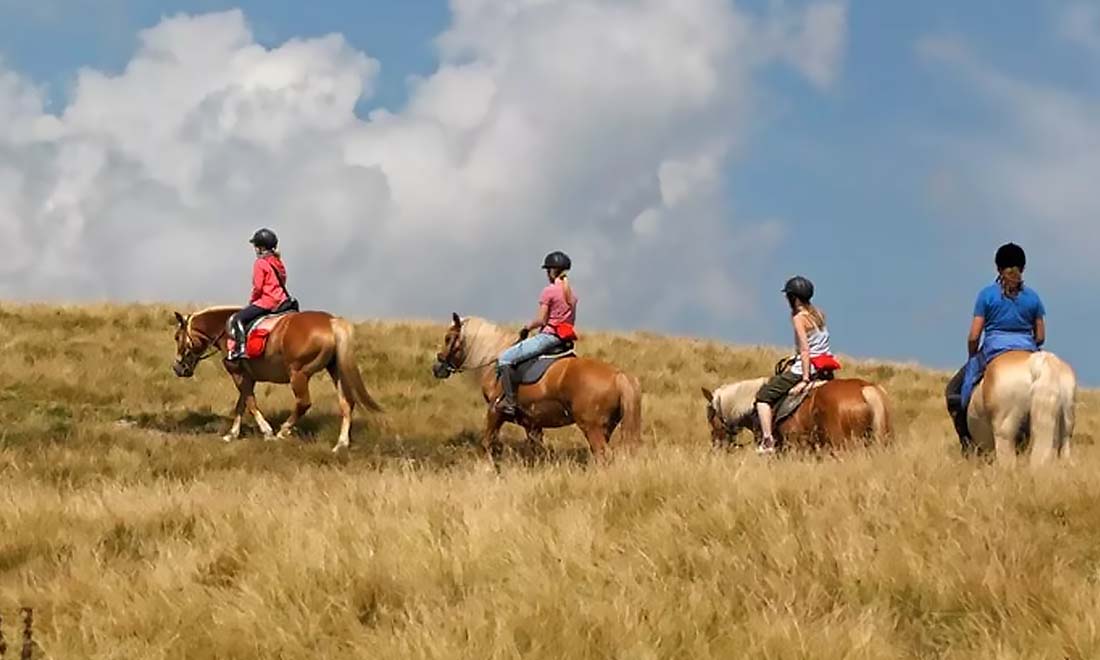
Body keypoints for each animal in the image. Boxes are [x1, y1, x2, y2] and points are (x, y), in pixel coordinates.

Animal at [168, 305, 382, 451]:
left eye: (177, 337)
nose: (178, 368)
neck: (225, 329)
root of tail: (331, 322)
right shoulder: (248, 377)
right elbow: (241, 404)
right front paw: (232, 434)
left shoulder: (238, 374)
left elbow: (250, 403)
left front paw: (267, 432)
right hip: (335, 370)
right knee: (346, 403)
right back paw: (341, 444)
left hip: (298, 374)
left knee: (303, 403)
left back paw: (283, 431)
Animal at [424, 314, 642, 464]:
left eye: (448, 338)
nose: (437, 368)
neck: (495, 360)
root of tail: (618, 375)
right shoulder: (532, 423)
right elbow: (536, 451)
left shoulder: (495, 412)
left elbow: (487, 442)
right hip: (605, 428)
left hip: (592, 428)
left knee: (603, 455)